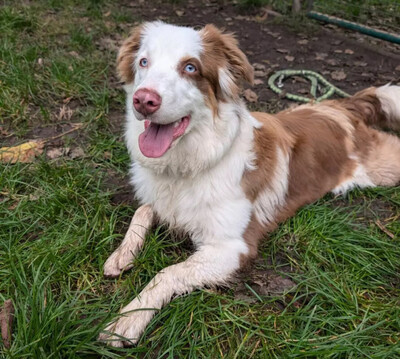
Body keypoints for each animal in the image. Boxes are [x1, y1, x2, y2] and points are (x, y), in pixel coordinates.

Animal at [99, 21, 400, 348]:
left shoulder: (232, 247)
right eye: (144, 62)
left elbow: (167, 272)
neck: (192, 162)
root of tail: (342, 107)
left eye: (190, 67)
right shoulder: (164, 199)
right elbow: (142, 211)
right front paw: (121, 255)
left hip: (384, 166)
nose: (144, 99)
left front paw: (128, 318)